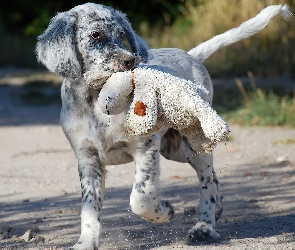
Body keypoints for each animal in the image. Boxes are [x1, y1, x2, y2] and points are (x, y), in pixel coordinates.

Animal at [35, 2, 292, 249]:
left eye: (122, 34)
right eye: (95, 35)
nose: (130, 60)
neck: (97, 104)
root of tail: (190, 56)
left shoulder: (146, 147)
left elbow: (141, 197)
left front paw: (164, 212)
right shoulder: (88, 159)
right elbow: (89, 209)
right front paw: (86, 243)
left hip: (192, 146)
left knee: (207, 183)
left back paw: (205, 227)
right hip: (174, 149)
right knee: (214, 179)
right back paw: (216, 212)